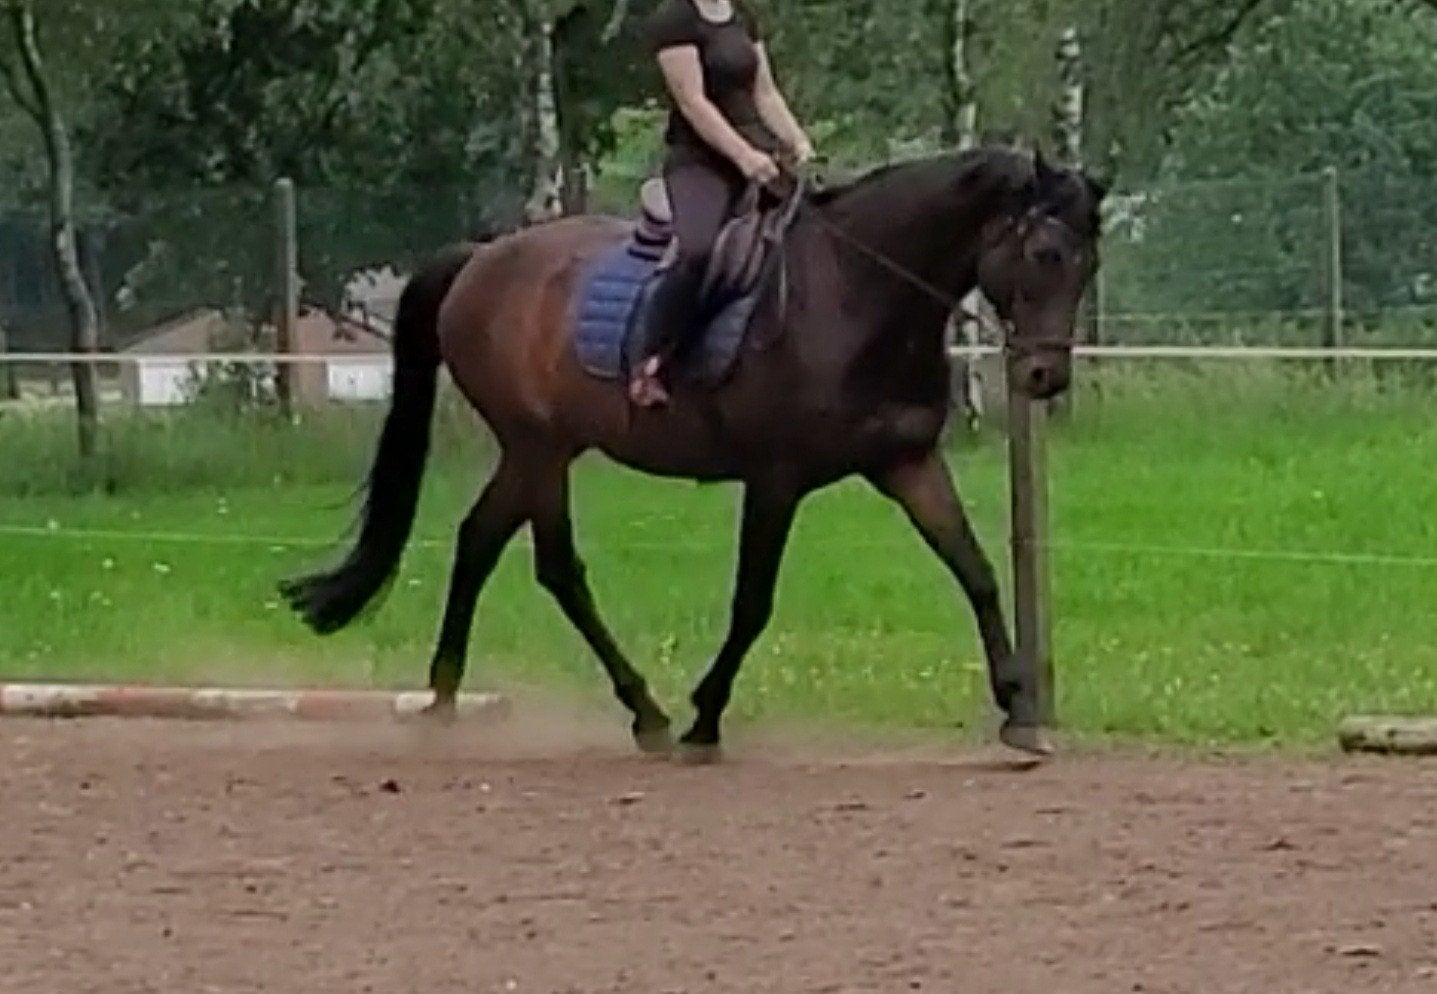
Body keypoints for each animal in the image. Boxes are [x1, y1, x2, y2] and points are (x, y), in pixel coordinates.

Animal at [280, 145, 1107, 761]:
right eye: (1043, 252)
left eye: (1088, 264)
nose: (1045, 378)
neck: (857, 292)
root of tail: (482, 259)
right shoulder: (775, 479)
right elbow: (752, 602)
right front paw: (705, 718)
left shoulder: (906, 464)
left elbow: (976, 571)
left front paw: (1019, 712)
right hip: (538, 446)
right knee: (553, 567)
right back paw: (639, 712)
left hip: (539, 449)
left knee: (482, 540)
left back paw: (451, 698)